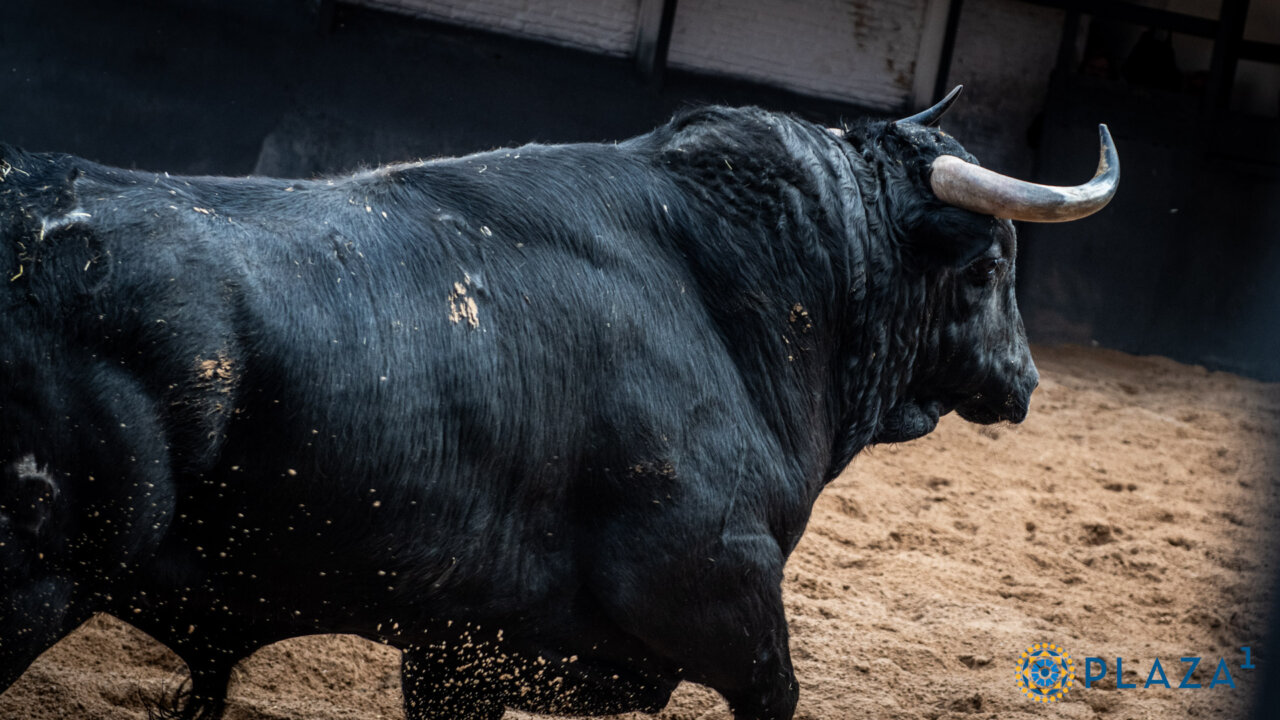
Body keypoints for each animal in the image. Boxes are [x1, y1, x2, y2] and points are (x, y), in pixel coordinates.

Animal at [0, 86, 1117, 720]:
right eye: (987, 269)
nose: (1023, 382)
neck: (739, 292)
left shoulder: (459, 656)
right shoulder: (723, 595)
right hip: (37, 585)